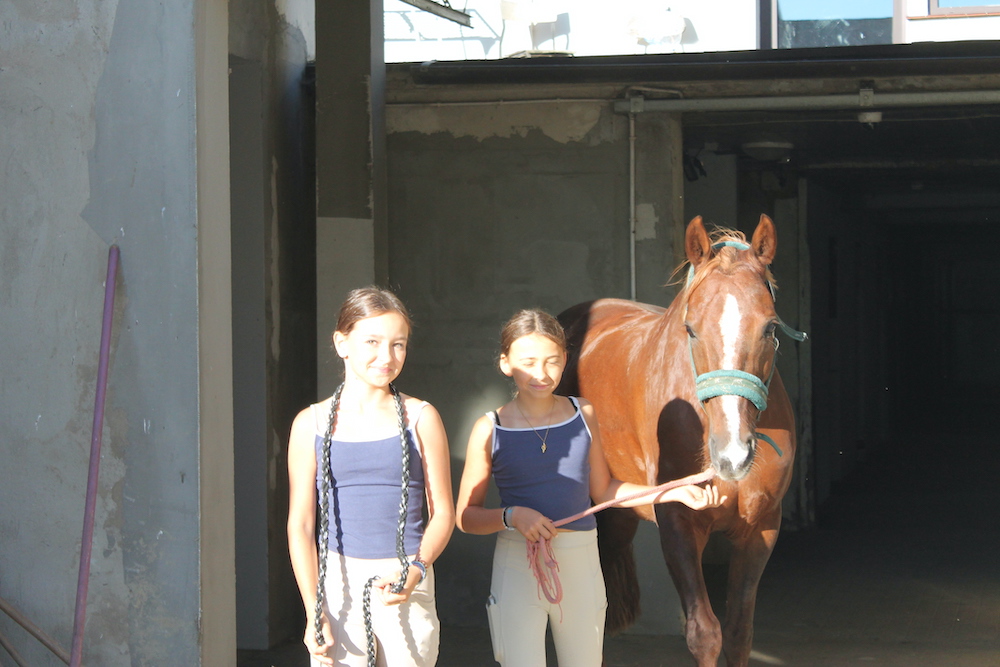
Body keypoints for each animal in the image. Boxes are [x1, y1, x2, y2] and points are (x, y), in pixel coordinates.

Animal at [557, 214, 802, 666]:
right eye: (691, 328)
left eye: (770, 326)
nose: (732, 455)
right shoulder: (677, 521)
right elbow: (705, 633)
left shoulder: (761, 528)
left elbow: (738, 632)